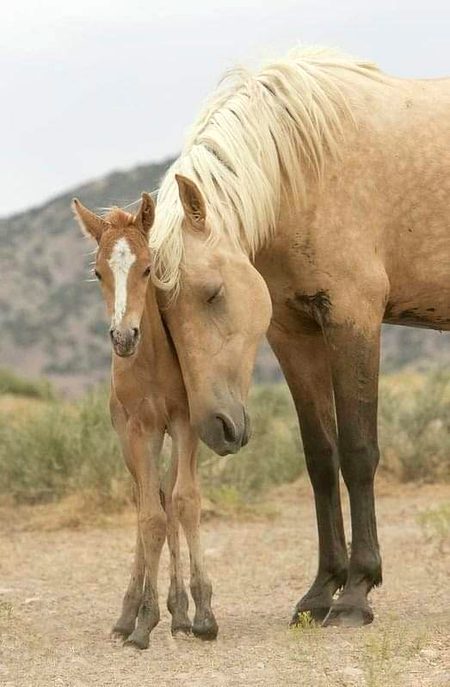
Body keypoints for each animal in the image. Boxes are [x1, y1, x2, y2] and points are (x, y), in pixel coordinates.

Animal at [72, 195, 218, 649]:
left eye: (148, 268)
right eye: (97, 272)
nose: (123, 338)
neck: (152, 362)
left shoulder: (185, 423)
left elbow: (185, 502)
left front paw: (203, 614)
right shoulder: (140, 430)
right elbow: (150, 517)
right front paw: (144, 621)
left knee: (169, 497)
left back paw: (181, 613)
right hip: (129, 441)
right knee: (145, 501)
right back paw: (130, 614)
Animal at [149, 47, 450, 628]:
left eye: (212, 293)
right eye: (163, 317)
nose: (216, 427)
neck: (302, 165)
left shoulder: (354, 321)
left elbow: (357, 452)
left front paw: (357, 592)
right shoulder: (294, 335)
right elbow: (320, 459)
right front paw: (320, 591)